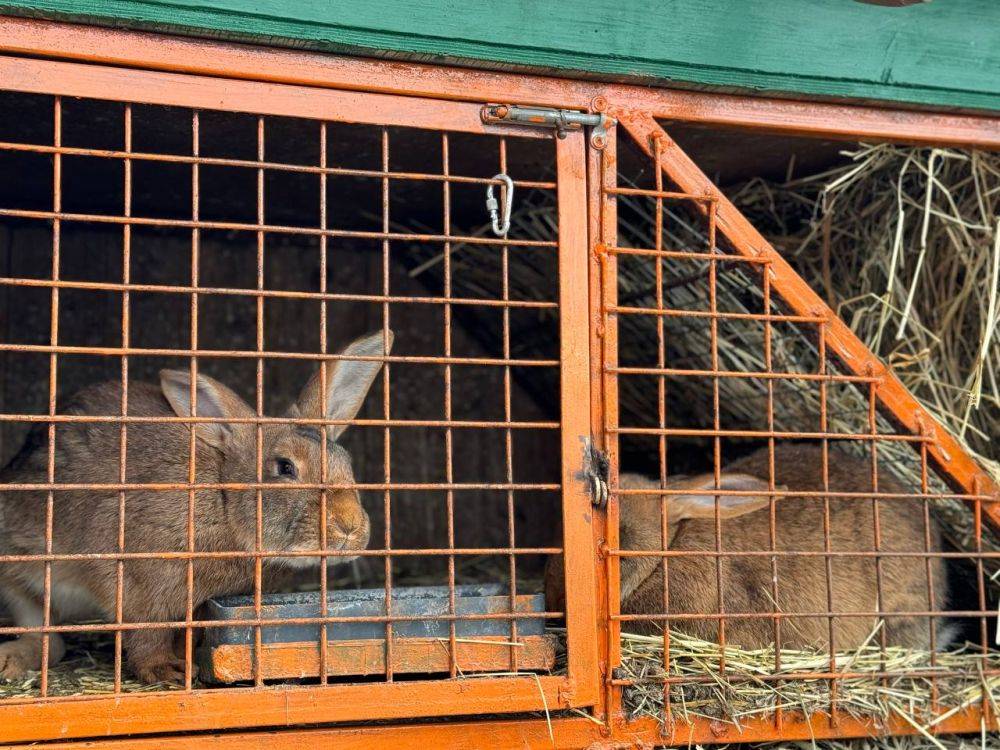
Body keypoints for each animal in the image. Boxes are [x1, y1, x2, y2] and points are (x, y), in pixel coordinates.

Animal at [0, 332, 390, 684]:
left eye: (346, 462)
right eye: (284, 467)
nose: (349, 527)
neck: (223, 499)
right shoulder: (137, 582)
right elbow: (147, 634)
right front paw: (167, 671)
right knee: (44, 635)